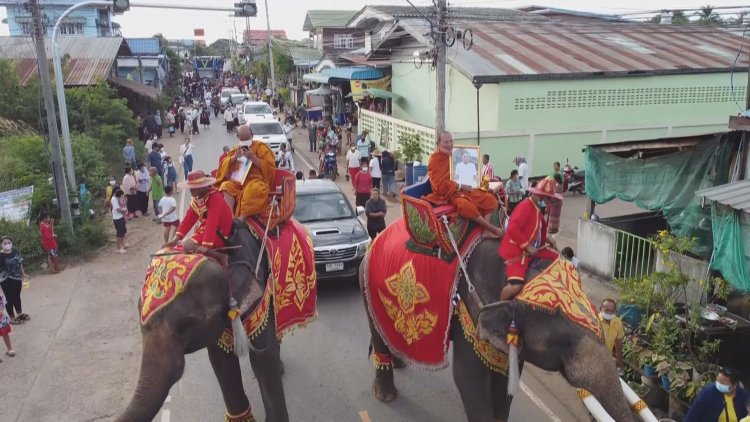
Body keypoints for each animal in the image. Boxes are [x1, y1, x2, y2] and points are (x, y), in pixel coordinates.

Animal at [362, 239, 636, 420]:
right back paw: (385, 395)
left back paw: (400, 362)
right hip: (370, 288)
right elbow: (468, 380)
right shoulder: (472, 309)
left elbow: (506, 380)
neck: (517, 272)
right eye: (563, 342)